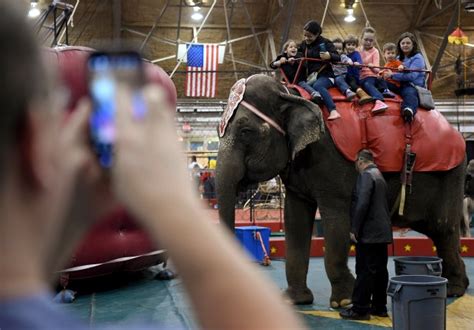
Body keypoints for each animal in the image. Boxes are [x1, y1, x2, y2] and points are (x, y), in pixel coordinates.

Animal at [217, 73, 468, 306]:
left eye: (245, 131)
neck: (289, 93)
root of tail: (450, 126)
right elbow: (295, 221)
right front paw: (295, 300)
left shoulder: (331, 161)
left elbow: (336, 221)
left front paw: (344, 301)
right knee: (435, 228)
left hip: (451, 173)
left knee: (443, 227)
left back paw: (454, 290)